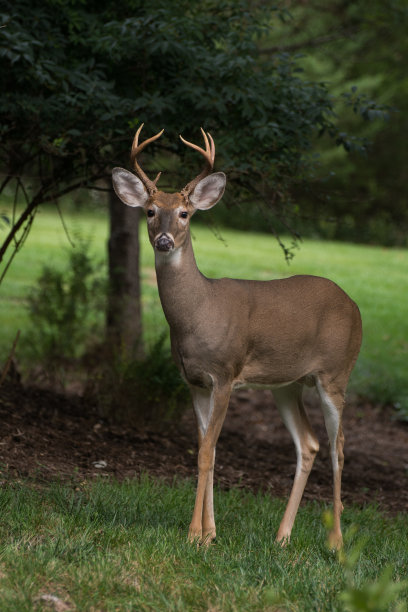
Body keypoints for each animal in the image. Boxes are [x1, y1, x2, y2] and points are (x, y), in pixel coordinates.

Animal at [112, 124, 364, 548]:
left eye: (185, 214)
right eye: (149, 211)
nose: (164, 240)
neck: (198, 312)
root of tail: (355, 305)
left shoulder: (225, 373)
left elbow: (206, 452)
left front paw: (194, 534)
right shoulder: (194, 381)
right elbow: (207, 449)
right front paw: (210, 533)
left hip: (336, 372)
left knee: (340, 446)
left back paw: (336, 542)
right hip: (287, 383)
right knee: (309, 443)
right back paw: (282, 537)